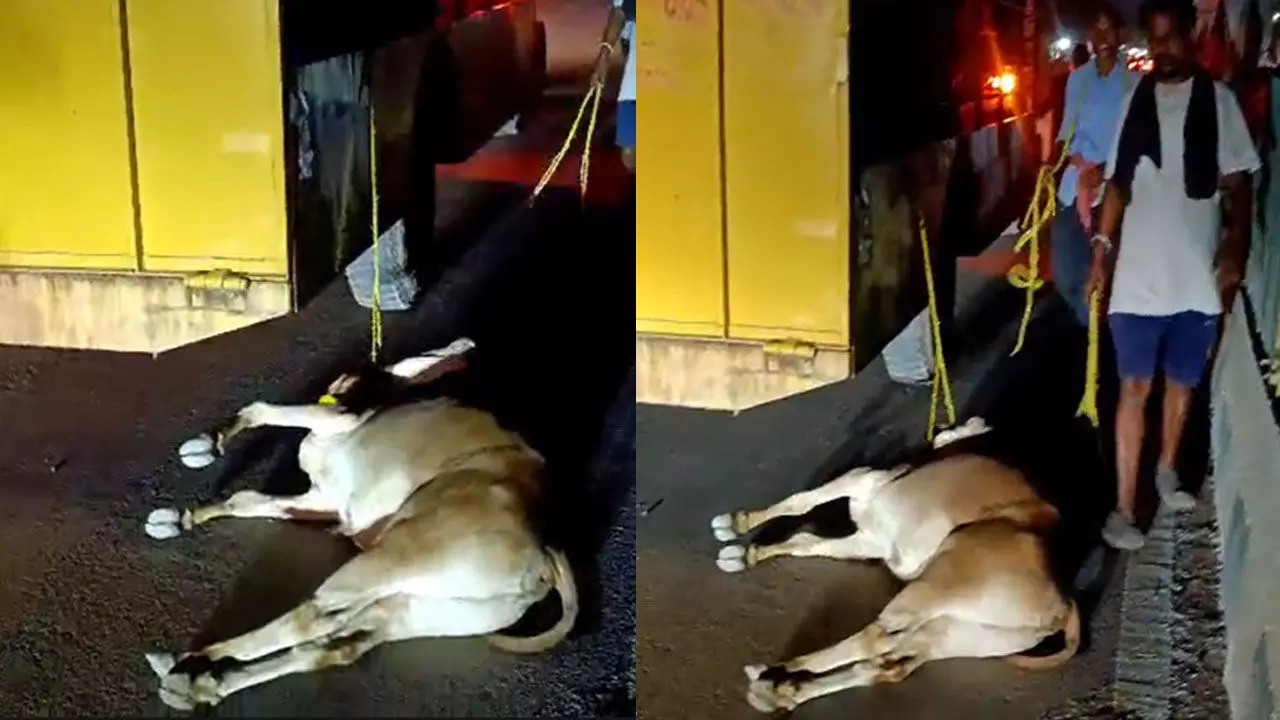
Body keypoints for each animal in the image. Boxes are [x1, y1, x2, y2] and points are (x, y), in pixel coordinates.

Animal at [141, 338, 578, 710]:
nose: (341, 385)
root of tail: (547, 552)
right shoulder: (326, 500)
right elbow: (246, 500)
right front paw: (183, 519)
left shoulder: (335, 422)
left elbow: (259, 409)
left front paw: (210, 443)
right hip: (419, 608)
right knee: (332, 644)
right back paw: (201, 680)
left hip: (393, 557)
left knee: (311, 618)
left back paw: (193, 660)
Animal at [711, 417, 1080, 713]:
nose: (966, 424)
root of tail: (1063, 605)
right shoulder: (869, 538)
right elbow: (805, 541)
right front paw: (746, 552)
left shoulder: (861, 479)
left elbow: (801, 502)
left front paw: (738, 526)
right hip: (952, 633)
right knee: (885, 663)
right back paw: (785, 690)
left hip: (935, 585)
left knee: (873, 637)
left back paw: (774, 673)